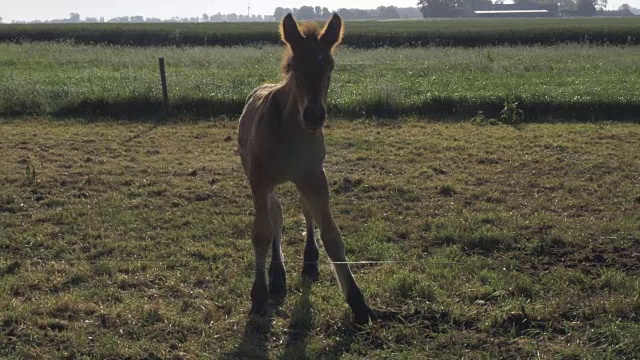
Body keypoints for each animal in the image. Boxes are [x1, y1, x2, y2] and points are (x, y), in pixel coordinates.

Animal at [238, 13, 372, 324]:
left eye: (330, 66)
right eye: (295, 66)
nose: (313, 115)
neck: (290, 130)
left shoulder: (315, 177)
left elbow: (331, 235)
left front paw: (358, 301)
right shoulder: (259, 180)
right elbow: (262, 232)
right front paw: (258, 296)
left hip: (303, 181)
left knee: (304, 210)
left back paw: (309, 262)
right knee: (276, 216)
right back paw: (276, 274)